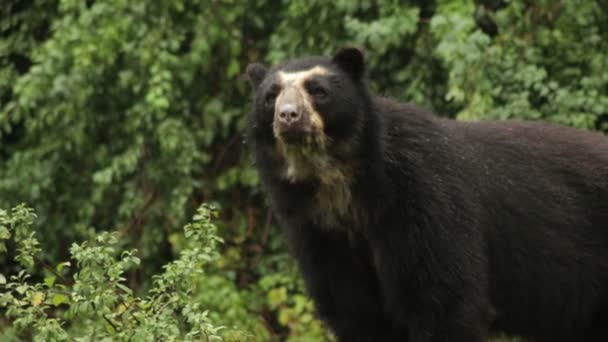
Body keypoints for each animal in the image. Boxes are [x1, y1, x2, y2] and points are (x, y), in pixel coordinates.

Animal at [245, 48, 608, 342]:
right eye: (270, 96)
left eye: (318, 91)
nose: (288, 116)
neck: (339, 182)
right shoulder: (317, 229)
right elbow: (355, 308)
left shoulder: (421, 199)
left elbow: (442, 299)